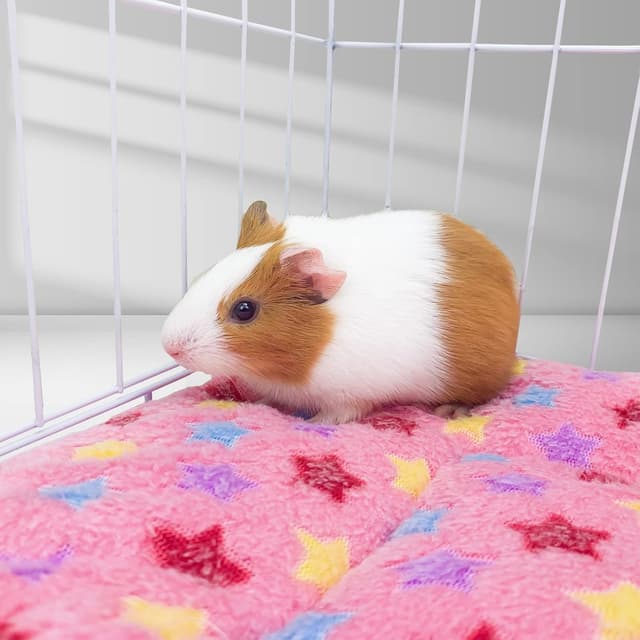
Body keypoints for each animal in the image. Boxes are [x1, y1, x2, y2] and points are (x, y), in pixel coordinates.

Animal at [161, 200, 520, 424]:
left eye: (245, 309)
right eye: (202, 275)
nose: (170, 346)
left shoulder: (351, 394)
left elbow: (341, 412)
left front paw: (316, 422)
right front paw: (262, 404)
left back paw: (450, 411)